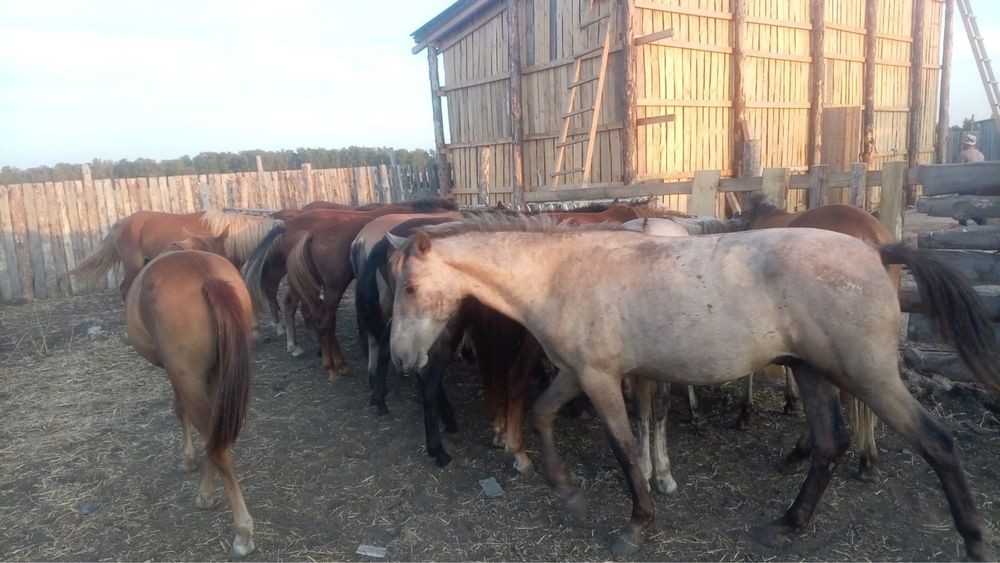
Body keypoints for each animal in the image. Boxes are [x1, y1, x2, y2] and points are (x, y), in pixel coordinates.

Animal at [125, 248, 256, 558]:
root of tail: (205, 273)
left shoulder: (176, 377)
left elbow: (179, 410)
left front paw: (188, 458)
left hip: (189, 380)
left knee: (216, 445)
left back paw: (242, 531)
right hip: (218, 378)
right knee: (216, 439)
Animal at [387, 215, 999, 559]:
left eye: (410, 287)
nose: (400, 358)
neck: (564, 273)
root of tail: (876, 250)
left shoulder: (601, 378)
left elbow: (625, 447)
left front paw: (636, 525)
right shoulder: (576, 373)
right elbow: (540, 415)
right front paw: (568, 495)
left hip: (867, 374)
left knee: (936, 442)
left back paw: (973, 537)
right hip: (811, 371)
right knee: (829, 444)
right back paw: (787, 526)